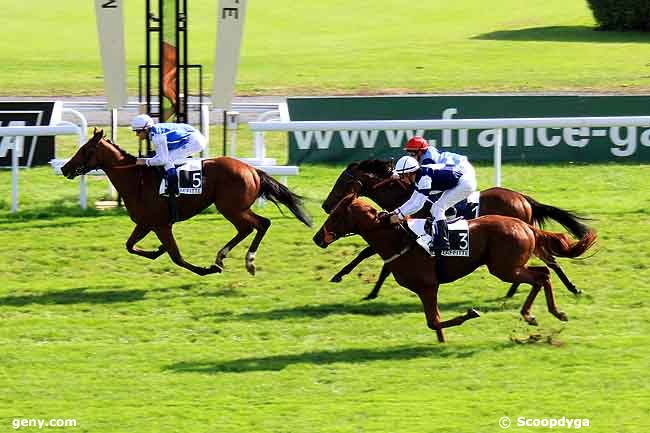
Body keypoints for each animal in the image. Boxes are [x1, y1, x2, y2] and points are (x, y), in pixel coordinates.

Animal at [61, 128, 312, 276]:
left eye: (85, 149)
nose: (64, 168)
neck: (136, 180)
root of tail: (252, 170)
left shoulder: (161, 225)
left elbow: (177, 258)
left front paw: (204, 269)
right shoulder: (145, 223)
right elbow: (130, 246)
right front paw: (157, 250)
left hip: (231, 207)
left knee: (259, 224)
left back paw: (246, 261)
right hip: (234, 208)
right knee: (249, 228)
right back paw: (224, 257)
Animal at [312, 195, 596, 340]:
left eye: (336, 215)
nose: (318, 238)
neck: (397, 238)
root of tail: (525, 225)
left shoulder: (427, 286)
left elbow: (434, 321)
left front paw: (470, 314)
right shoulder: (424, 288)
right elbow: (434, 323)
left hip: (503, 268)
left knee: (541, 276)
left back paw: (535, 313)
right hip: (510, 266)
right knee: (543, 273)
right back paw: (550, 311)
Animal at [322, 160, 588, 298]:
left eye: (343, 181)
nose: (326, 205)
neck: (406, 192)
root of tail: (523, 198)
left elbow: (372, 255)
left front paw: (352, 281)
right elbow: (373, 255)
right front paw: (359, 284)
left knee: (547, 260)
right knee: (547, 259)